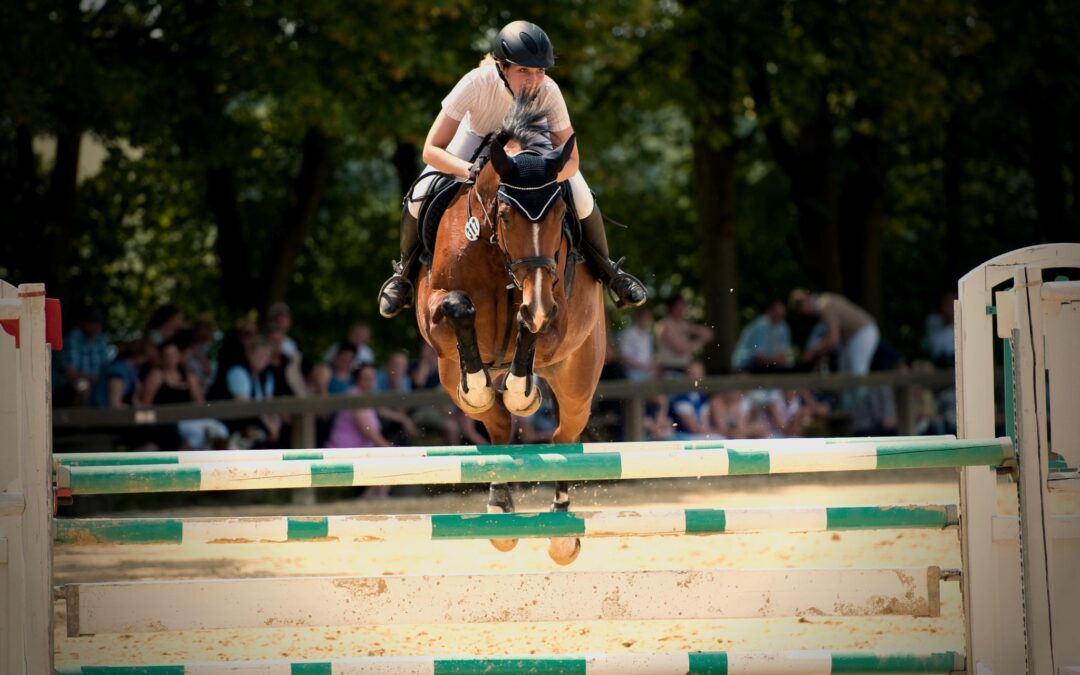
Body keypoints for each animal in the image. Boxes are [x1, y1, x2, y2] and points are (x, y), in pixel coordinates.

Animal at [414, 100, 606, 565]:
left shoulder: (557, 316)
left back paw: (561, 534)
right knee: (497, 426)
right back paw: (499, 506)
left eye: (560, 216)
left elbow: (528, 324)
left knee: (564, 439)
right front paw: (484, 386)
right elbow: (457, 306)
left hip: (578, 380)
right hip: (447, 374)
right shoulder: (434, 314)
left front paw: (523, 390)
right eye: (504, 215)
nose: (538, 300)